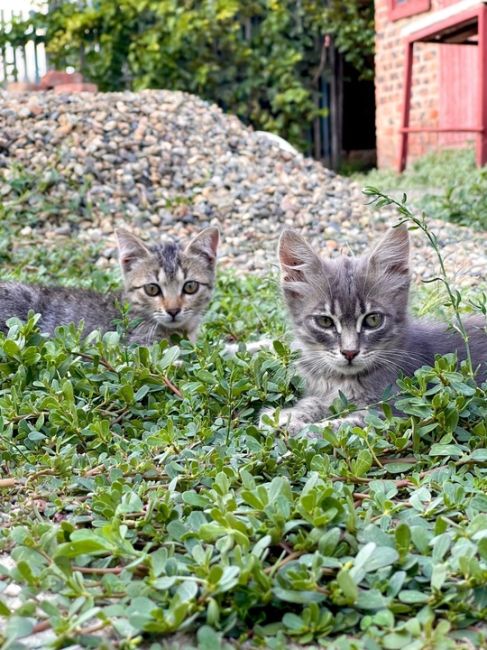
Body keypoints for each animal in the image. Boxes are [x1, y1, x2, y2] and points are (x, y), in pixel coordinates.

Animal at [268, 225, 486, 432]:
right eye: (325, 321)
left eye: (373, 320)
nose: (349, 352)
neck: (340, 380)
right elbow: (313, 402)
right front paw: (285, 417)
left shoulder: (395, 409)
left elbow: (345, 425)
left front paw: (305, 429)